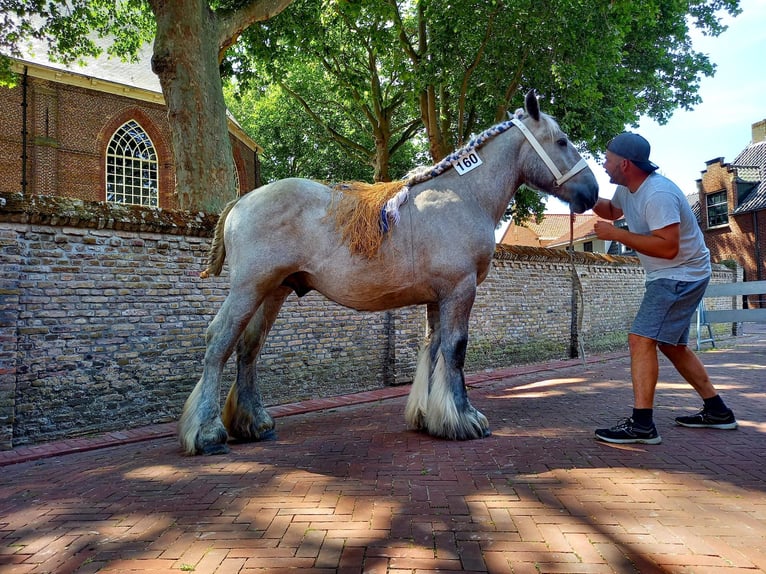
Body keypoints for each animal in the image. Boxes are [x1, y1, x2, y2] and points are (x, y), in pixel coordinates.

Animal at [180, 91, 600, 460]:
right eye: (562, 141)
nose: (592, 192)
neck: (463, 195)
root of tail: (241, 201)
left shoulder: (438, 298)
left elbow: (433, 348)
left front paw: (430, 417)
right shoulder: (459, 291)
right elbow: (455, 349)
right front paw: (464, 419)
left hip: (273, 291)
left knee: (249, 347)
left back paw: (253, 423)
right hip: (249, 288)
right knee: (219, 341)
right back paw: (207, 433)